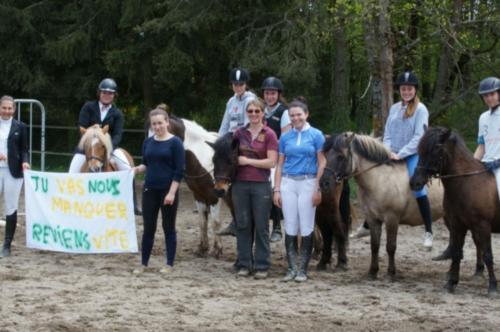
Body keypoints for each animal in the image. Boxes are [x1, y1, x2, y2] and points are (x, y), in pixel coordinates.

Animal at [410, 126, 500, 296]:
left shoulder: (483, 226)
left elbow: (488, 255)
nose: (414, 183)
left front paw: (492, 287)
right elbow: (457, 253)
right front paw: (451, 283)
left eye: (436, 150)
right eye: (419, 150)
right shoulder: (458, 225)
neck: (467, 182)